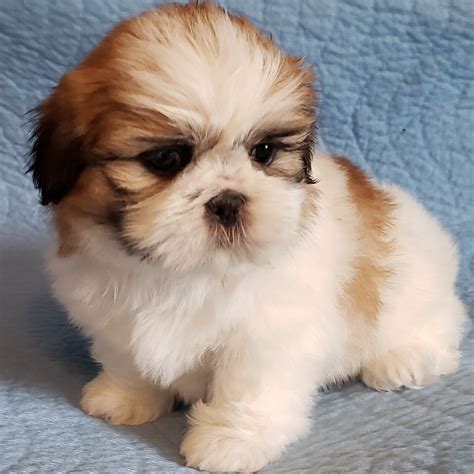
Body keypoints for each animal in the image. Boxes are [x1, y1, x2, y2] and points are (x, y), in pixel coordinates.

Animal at [28, 2, 466, 470]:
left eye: (264, 152)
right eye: (166, 158)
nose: (228, 200)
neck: (187, 271)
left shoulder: (269, 334)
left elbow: (250, 389)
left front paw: (231, 439)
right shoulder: (111, 315)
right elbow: (126, 357)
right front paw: (126, 396)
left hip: (414, 291)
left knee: (443, 322)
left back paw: (403, 359)